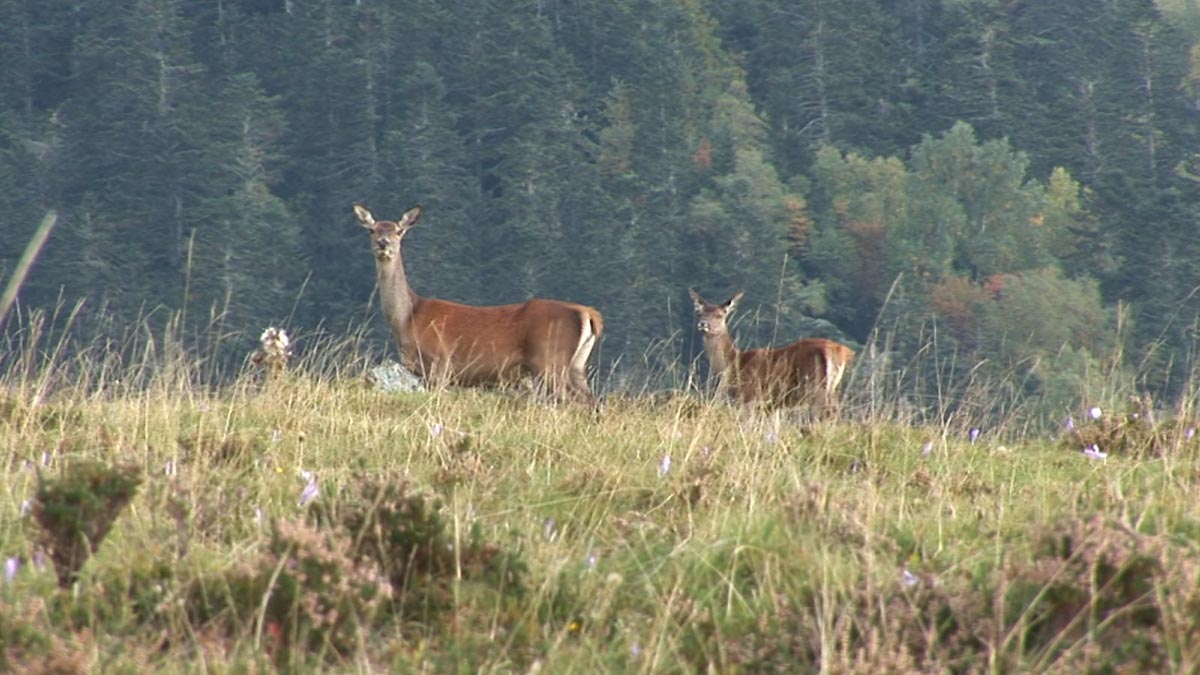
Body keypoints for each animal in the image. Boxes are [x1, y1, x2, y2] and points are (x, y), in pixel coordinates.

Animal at [355, 204, 603, 403]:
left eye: (399, 231)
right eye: (371, 230)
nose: (383, 243)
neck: (408, 318)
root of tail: (589, 314)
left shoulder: (440, 362)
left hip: (550, 359)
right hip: (576, 365)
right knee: (592, 402)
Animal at [688, 288, 853, 416]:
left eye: (720, 315)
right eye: (699, 313)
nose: (703, 324)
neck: (734, 363)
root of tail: (840, 351)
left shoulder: (750, 396)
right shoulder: (772, 406)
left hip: (816, 385)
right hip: (831, 388)